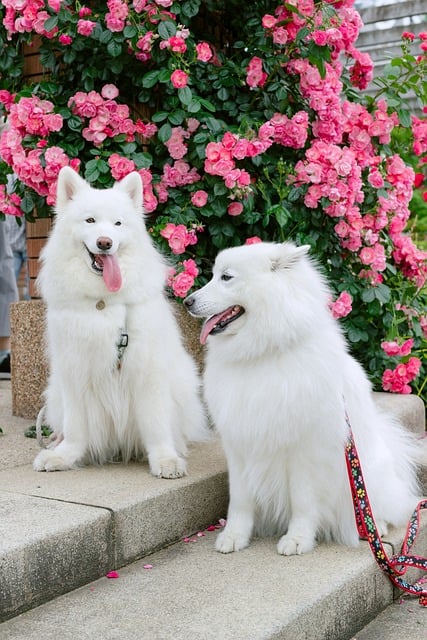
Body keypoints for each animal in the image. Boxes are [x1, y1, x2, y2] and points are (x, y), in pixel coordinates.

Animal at [33, 168, 207, 478]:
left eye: (118, 223)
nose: (105, 242)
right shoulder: (74, 369)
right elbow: (76, 426)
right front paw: (65, 456)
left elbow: (156, 423)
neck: (104, 301)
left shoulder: (148, 369)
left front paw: (165, 459)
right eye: (90, 220)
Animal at [186, 241, 422, 556]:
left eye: (226, 277)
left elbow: (302, 500)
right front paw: (235, 535)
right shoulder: (239, 443)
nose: (187, 301)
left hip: (369, 474)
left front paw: (298, 539)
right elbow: (240, 499)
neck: (262, 354)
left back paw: (375, 528)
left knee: (378, 509)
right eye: (213, 275)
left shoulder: (304, 449)